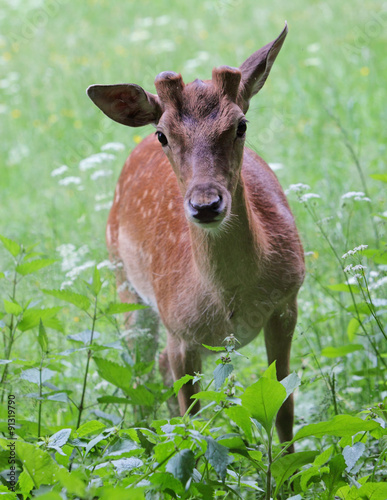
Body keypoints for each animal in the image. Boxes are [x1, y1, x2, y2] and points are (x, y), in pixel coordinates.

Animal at [87, 23, 306, 452]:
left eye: (241, 125)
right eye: (162, 135)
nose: (206, 204)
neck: (230, 299)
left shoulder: (287, 303)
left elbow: (284, 407)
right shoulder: (180, 331)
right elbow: (192, 425)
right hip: (125, 282)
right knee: (139, 374)